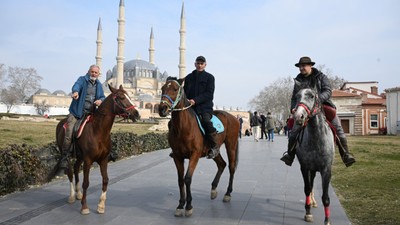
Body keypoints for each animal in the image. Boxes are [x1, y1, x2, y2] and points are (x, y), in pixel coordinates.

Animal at [54, 84, 139, 214]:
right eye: (121, 97)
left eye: (129, 96)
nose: (137, 113)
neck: (98, 131)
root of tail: (61, 123)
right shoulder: (88, 160)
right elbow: (86, 183)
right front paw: (84, 206)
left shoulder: (103, 160)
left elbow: (105, 180)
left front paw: (101, 205)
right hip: (66, 152)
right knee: (69, 171)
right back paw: (72, 196)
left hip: (80, 156)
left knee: (76, 168)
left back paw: (78, 194)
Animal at [159, 77, 241, 216]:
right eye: (162, 88)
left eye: (175, 89)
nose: (162, 108)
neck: (183, 127)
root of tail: (234, 117)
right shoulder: (177, 156)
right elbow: (180, 180)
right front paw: (180, 205)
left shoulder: (195, 155)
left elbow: (187, 178)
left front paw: (189, 206)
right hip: (214, 150)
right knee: (222, 164)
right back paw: (213, 189)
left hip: (231, 145)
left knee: (231, 167)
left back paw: (228, 193)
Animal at [292, 81, 336, 225]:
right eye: (297, 96)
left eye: (311, 96)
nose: (298, 116)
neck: (316, 139)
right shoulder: (305, 167)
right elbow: (307, 188)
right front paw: (308, 213)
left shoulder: (326, 170)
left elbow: (326, 197)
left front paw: (327, 220)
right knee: (310, 186)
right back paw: (311, 202)